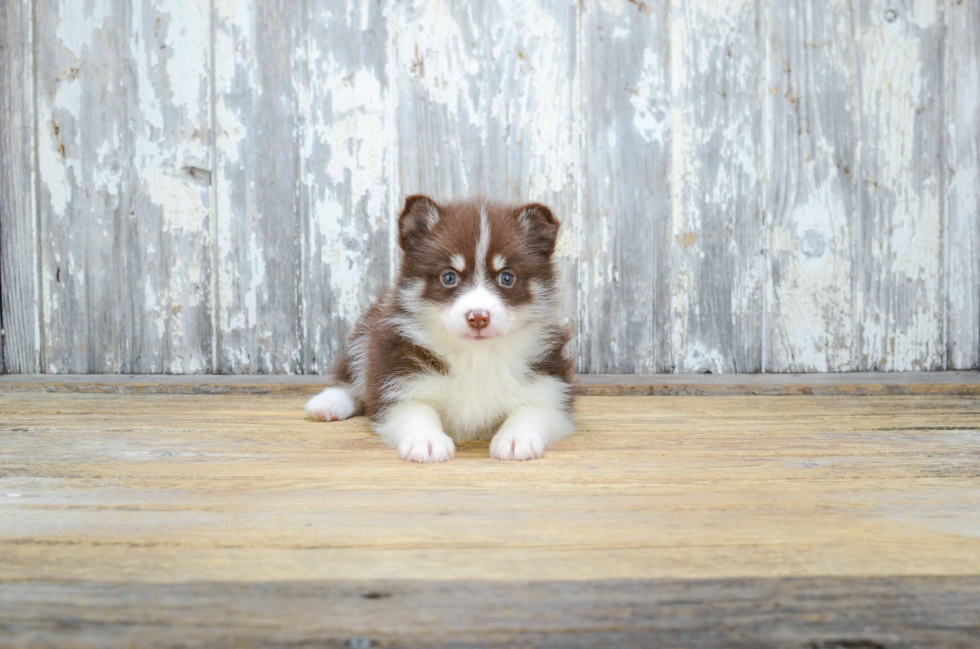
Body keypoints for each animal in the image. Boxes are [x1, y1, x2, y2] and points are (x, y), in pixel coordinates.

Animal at [306, 195, 576, 464]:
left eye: (507, 278)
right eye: (449, 277)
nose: (478, 317)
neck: (475, 355)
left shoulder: (549, 384)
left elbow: (533, 410)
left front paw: (516, 438)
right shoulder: (398, 378)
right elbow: (415, 411)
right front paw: (426, 440)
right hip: (367, 333)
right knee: (354, 377)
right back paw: (329, 402)